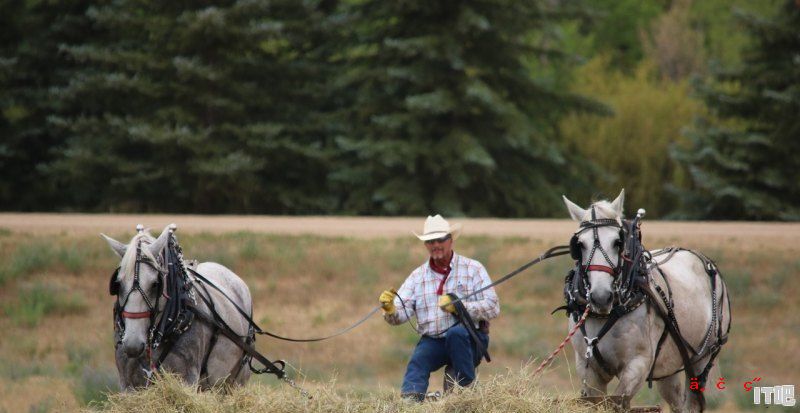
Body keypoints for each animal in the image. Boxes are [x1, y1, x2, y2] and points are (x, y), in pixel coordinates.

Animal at [102, 225, 253, 390]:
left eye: (155, 284)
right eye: (118, 284)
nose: (132, 345)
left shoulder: (188, 378)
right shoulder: (128, 383)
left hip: (236, 380)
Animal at [564, 192, 732, 412]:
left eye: (617, 242)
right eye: (580, 245)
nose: (601, 297)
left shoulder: (638, 365)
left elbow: (618, 402)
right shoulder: (588, 369)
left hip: (702, 358)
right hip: (670, 365)